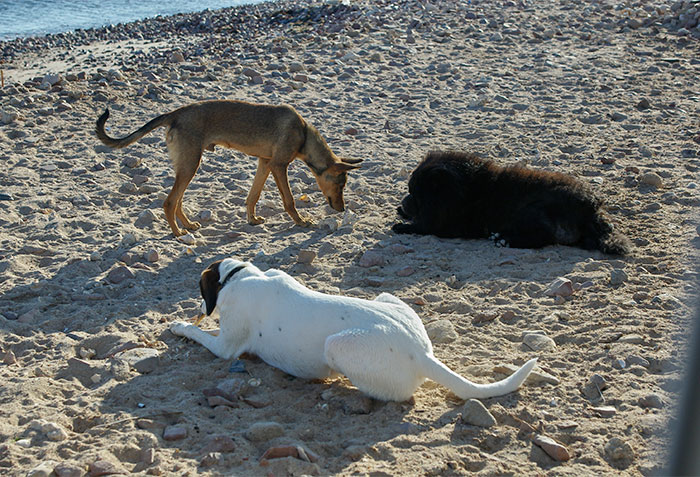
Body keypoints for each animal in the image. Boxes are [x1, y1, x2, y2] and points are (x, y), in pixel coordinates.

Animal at [95, 99, 364, 236]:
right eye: (341, 185)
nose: (342, 209)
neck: (303, 134)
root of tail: (176, 113)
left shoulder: (265, 163)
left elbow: (253, 195)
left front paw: (252, 219)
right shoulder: (279, 165)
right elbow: (289, 200)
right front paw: (300, 222)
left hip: (187, 165)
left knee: (177, 200)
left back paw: (188, 225)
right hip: (191, 164)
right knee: (170, 201)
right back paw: (179, 233)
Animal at [172, 258, 540, 400]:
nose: (199, 309)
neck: (242, 275)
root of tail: (421, 353)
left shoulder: (226, 346)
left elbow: (200, 335)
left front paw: (179, 325)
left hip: (338, 346)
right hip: (388, 299)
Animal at [394, 151, 628, 255]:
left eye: (415, 193)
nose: (404, 201)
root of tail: (591, 210)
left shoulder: (445, 226)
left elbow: (420, 227)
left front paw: (401, 226)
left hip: (531, 210)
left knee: (542, 238)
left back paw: (504, 240)